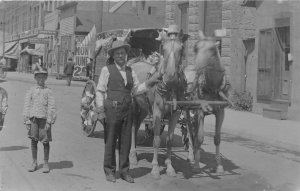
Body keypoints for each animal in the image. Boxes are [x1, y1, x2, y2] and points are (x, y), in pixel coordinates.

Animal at [129, 33, 186, 179]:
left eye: (181, 49)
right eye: (163, 49)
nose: (171, 77)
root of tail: (135, 62)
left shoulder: (175, 114)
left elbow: (169, 140)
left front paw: (169, 167)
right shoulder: (157, 113)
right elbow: (156, 139)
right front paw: (155, 168)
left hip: (144, 108)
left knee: (137, 125)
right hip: (133, 106)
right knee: (132, 127)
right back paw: (133, 155)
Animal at [185, 31, 232, 173]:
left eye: (212, 50)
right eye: (195, 48)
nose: (197, 69)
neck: (213, 86)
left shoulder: (221, 111)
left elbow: (217, 138)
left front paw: (219, 165)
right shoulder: (200, 110)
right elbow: (200, 137)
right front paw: (196, 163)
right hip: (187, 110)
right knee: (189, 130)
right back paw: (191, 156)